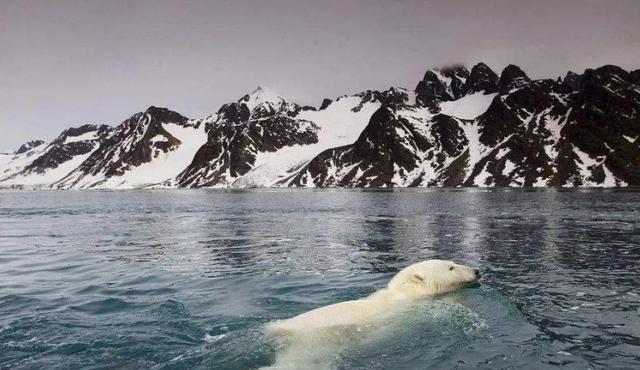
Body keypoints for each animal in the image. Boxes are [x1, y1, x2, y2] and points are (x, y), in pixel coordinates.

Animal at [264, 258, 480, 368]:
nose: (477, 270)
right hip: (316, 346)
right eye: (451, 267)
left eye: (453, 262)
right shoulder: (420, 307)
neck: (402, 293)